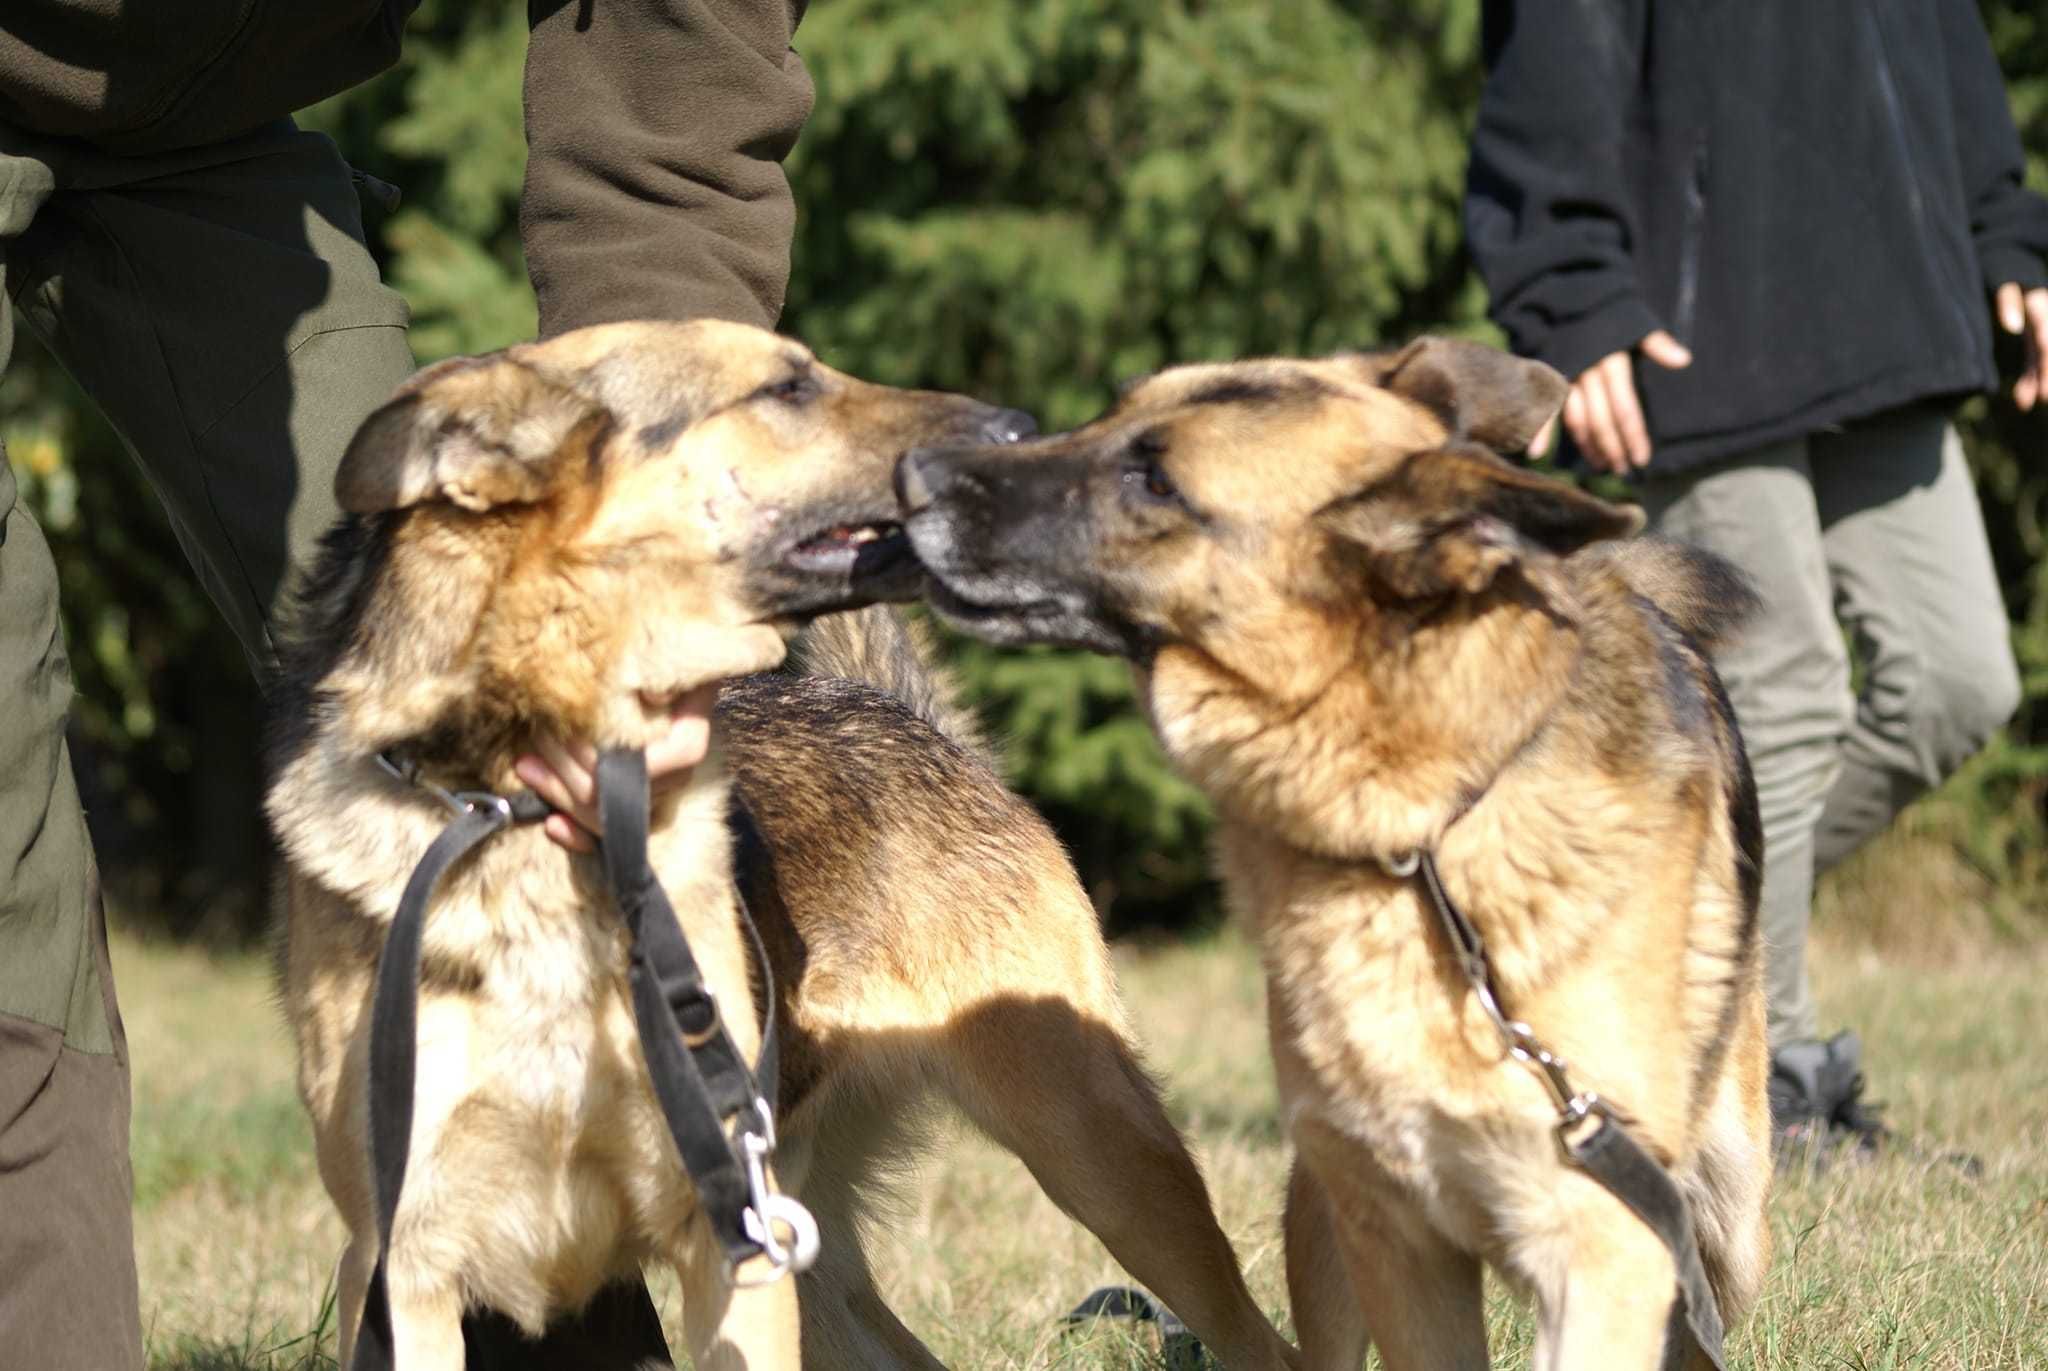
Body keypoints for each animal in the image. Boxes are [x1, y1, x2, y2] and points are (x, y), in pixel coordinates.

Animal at [268, 321, 1294, 1368]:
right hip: (827, 1262)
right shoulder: (403, 1265)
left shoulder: (731, 1236)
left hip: (1098, 1152)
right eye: (787, 390)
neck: (529, 817)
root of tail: (910, 720)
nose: (1016, 430)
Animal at [897, 334, 1777, 1368]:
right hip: (1325, 1216)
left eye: (1155, 478)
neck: (1418, 839)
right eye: (1113, 411)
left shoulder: (1603, 1243)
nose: (913, 470)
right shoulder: (1396, 1236)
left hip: (1725, 1217)